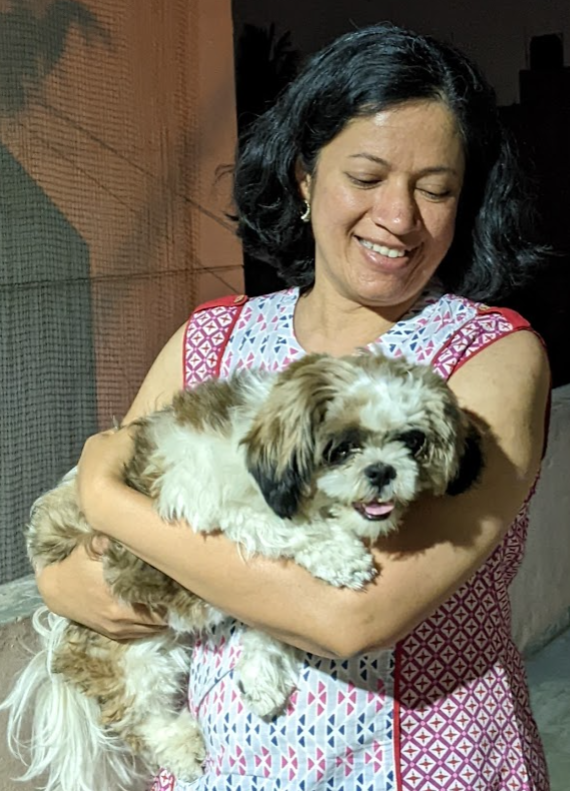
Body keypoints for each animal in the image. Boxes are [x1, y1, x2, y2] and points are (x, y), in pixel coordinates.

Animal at [1, 350, 483, 791]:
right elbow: (286, 529)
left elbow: (275, 622)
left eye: (412, 441)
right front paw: (339, 555)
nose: (382, 471)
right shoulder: (201, 498)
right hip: (131, 656)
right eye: (343, 448)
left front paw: (262, 675)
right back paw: (181, 747)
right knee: (141, 715)